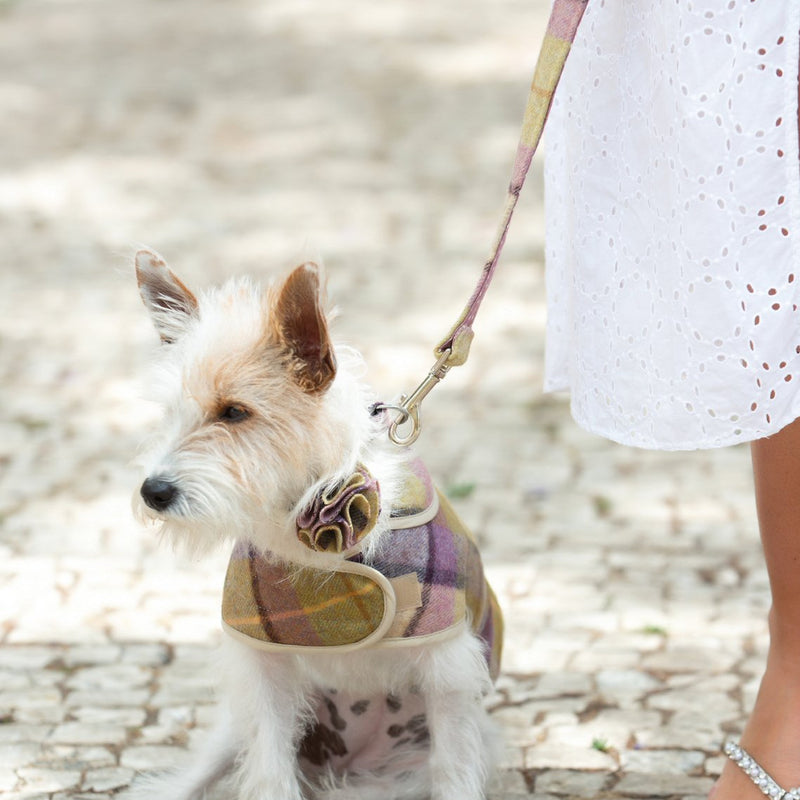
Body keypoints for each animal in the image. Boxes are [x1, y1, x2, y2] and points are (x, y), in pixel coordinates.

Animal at [134, 250, 504, 800]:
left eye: (234, 411)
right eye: (170, 413)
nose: (153, 491)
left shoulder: (447, 670)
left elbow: (454, 771)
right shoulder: (263, 670)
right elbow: (268, 768)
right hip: (235, 728)